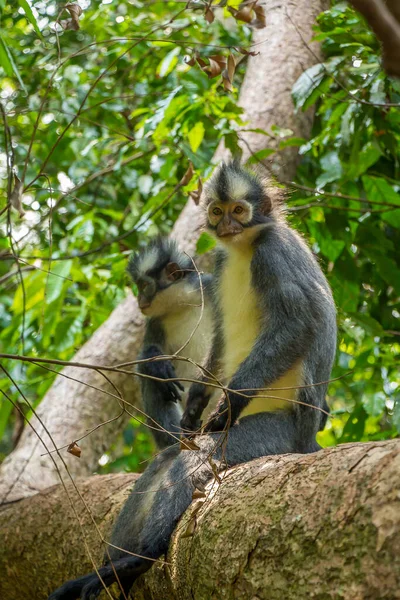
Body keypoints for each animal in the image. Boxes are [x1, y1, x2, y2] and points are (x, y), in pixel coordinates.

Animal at [128, 237, 216, 448]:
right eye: (138, 287)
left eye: (144, 286)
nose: (139, 299)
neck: (184, 303)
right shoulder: (156, 322)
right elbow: (147, 355)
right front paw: (157, 362)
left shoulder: (212, 288)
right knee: (149, 375)